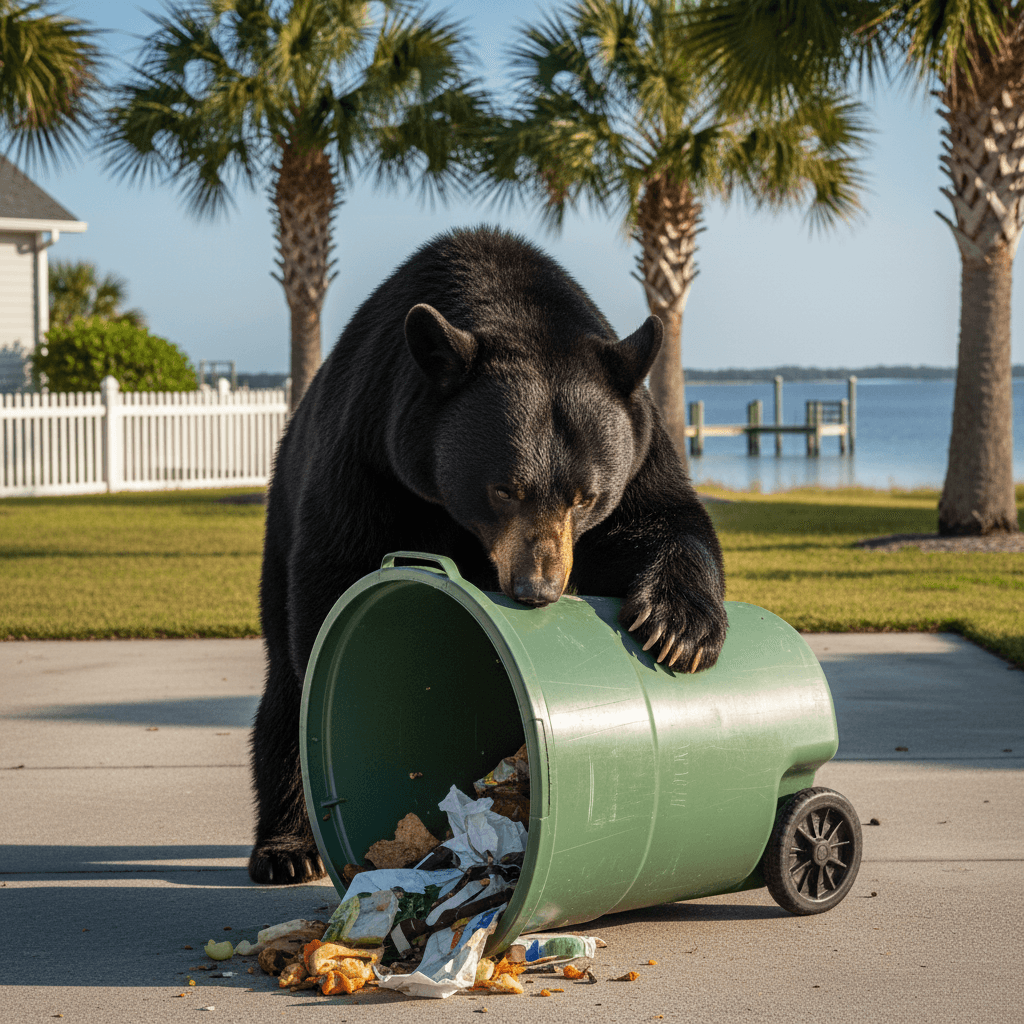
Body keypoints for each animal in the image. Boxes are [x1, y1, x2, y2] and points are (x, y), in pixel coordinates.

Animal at [249, 226, 728, 884]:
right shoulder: (370, 454)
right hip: (281, 512)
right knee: (284, 685)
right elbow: (335, 581)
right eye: (505, 489)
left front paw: (678, 628)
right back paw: (287, 849)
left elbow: (666, 518)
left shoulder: (641, 441)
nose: (537, 588)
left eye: (586, 496)